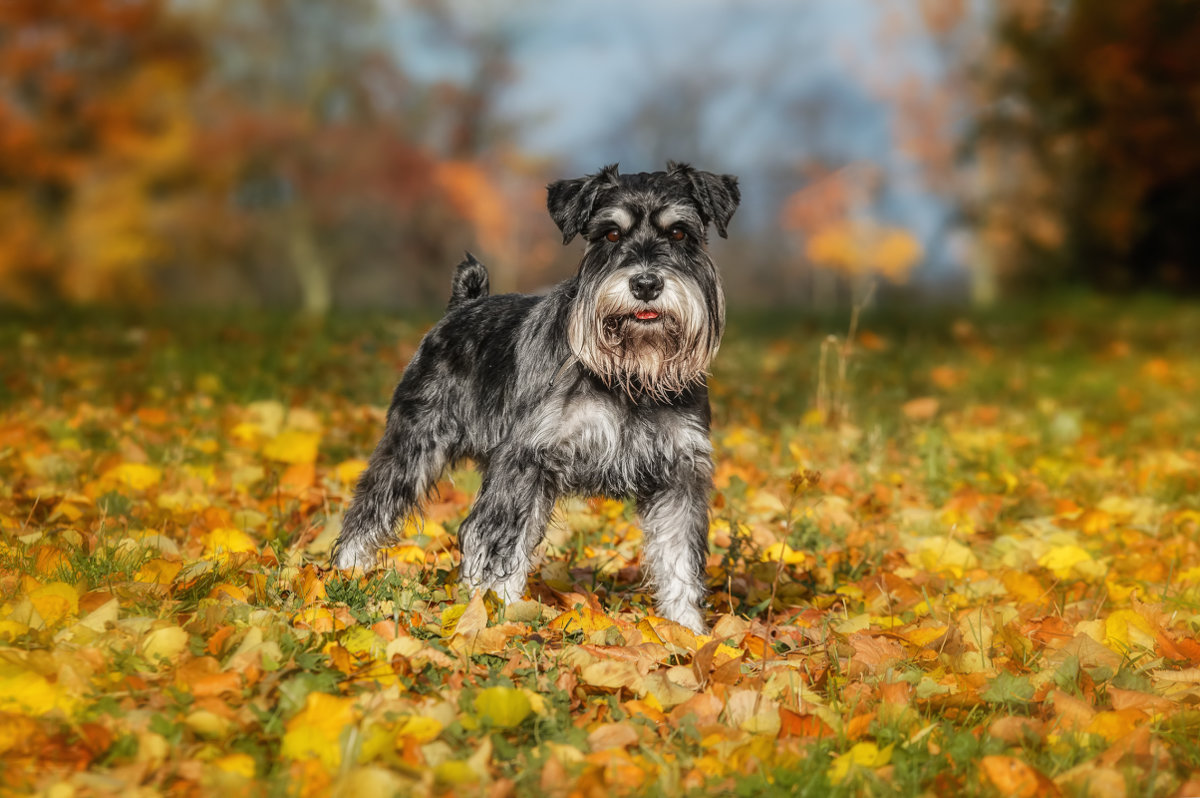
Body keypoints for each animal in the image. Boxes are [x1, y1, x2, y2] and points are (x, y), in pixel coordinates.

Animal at [331, 162, 739, 633]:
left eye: (679, 233)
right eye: (610, 234)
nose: (646, 283)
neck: (630, 376)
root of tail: (461, 307)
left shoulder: (680, 473)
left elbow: (679, 557)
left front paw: (686, 631)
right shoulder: (526, 460)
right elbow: (506, 543)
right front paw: (500, 616)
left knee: (472, 528)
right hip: (414, 443)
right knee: (374, 508)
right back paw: (344, 578)